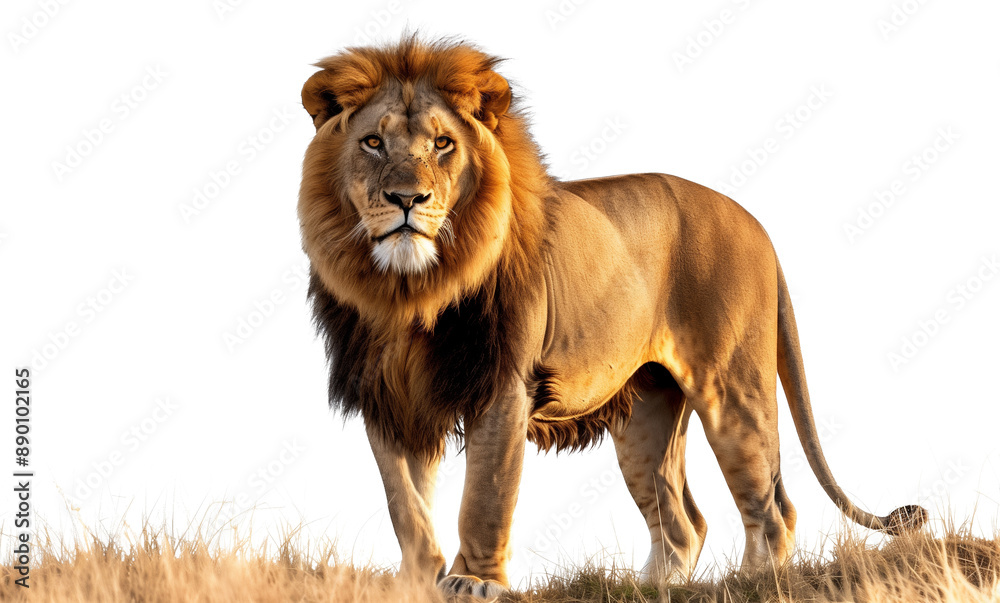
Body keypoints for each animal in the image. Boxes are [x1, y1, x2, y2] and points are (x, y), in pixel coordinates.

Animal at [298, 36, 926, 599]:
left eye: (443, 143)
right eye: (373, 142)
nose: (408, 200)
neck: (411, 292)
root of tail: (755, 223)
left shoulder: (502, 386)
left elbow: (485, 496)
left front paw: (474, 581)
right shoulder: (388, 395)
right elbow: (405, 502)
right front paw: (415, 579)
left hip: (733, 390)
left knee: (773, 507)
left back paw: (752, 582)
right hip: (647, 413)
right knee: (683, 522)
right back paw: (647, 587)